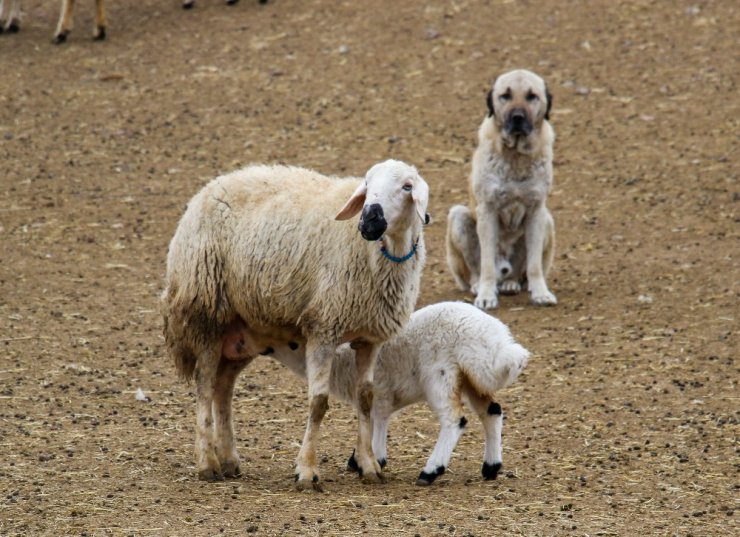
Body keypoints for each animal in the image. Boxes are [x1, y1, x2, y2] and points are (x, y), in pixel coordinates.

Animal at [162, 158, 428, 490]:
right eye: (367, 185)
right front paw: (307, 471)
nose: (368, 222)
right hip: (208, 313)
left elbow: (366, 398)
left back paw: (229, 460)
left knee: (223, 386)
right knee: (204, 384)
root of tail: (206, 190)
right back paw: (207, 463)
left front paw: (368, 466)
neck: (383, 252)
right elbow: (318, 403)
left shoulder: (370, 338)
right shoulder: (323, 327)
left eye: (407, 186)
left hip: (243, 331)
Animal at [223, 302, 528, 486]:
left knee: (454, 420)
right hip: (472, 376)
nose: (245, 344)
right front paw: (360, 459)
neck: (340, 358)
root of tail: (499, 343)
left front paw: (371, 460)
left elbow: (375, 422)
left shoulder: (379, 393)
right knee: (492, 412)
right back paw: (491, 467)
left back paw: (430, 471)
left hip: (440, 375)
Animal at [448, 68, 556, 308]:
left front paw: (540, 293)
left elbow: (534, 265)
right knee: (476, 271)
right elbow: (487, 264)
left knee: (518, 272)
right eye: (505, 96)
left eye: (532, 96)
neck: (515, 157)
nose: (517, 118)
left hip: (547, 220)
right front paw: (486, 296)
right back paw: (479, 286)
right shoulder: (487, 210)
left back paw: (510, 283)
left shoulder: (537, 212)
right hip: (459, 217)